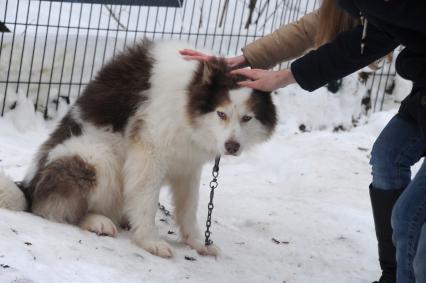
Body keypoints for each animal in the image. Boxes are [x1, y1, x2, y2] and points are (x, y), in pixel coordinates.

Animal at [0, 40, 276, 260]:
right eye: (221, 114)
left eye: (247, 118)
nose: (232, 146)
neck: (188, 93)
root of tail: (29, 187)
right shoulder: (149, 152)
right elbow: (147, 201)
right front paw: (150, 241)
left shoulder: (188, 165)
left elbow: (189, 207)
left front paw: (197, 241)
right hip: (97, 157)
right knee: (56, 208)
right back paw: (98, 221)